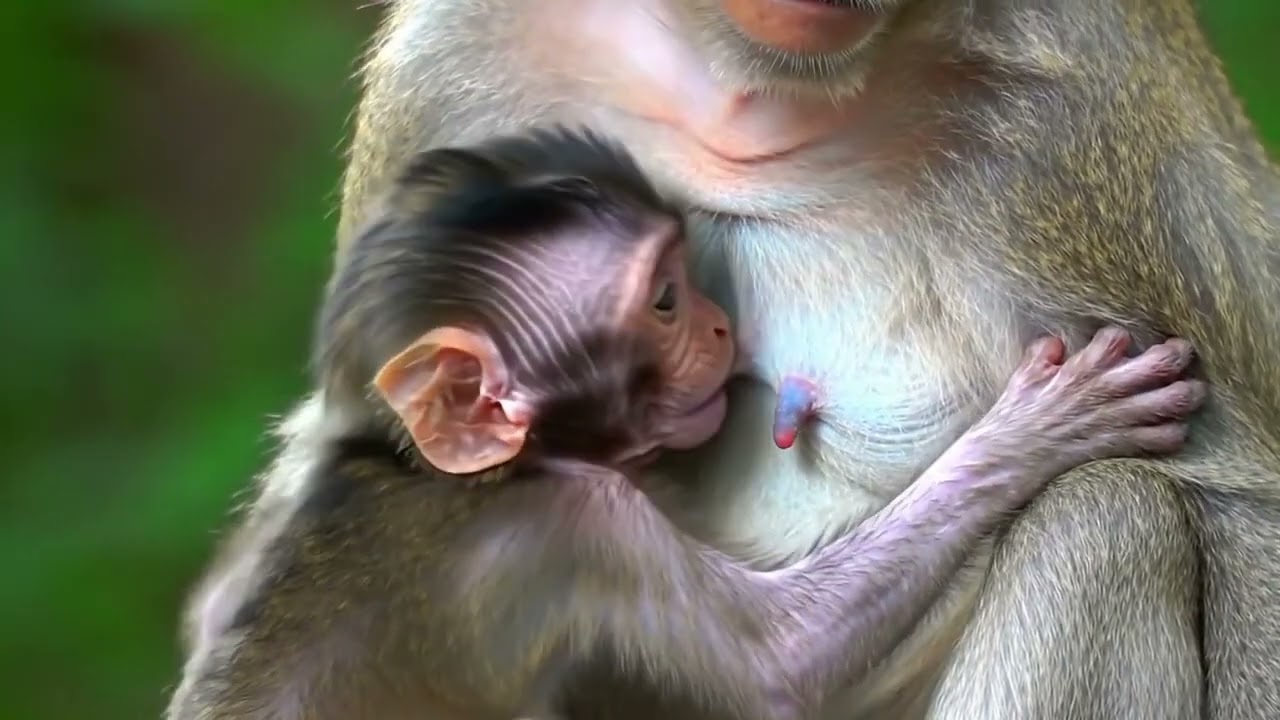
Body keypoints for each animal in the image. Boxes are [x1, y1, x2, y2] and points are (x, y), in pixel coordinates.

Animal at [180, 0, 1280, 718]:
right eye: (665, 300)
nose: (719, 329)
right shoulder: (451, 53)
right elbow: (783, 659)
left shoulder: (1083, 97)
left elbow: (1245, 495)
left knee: (1111, 514)